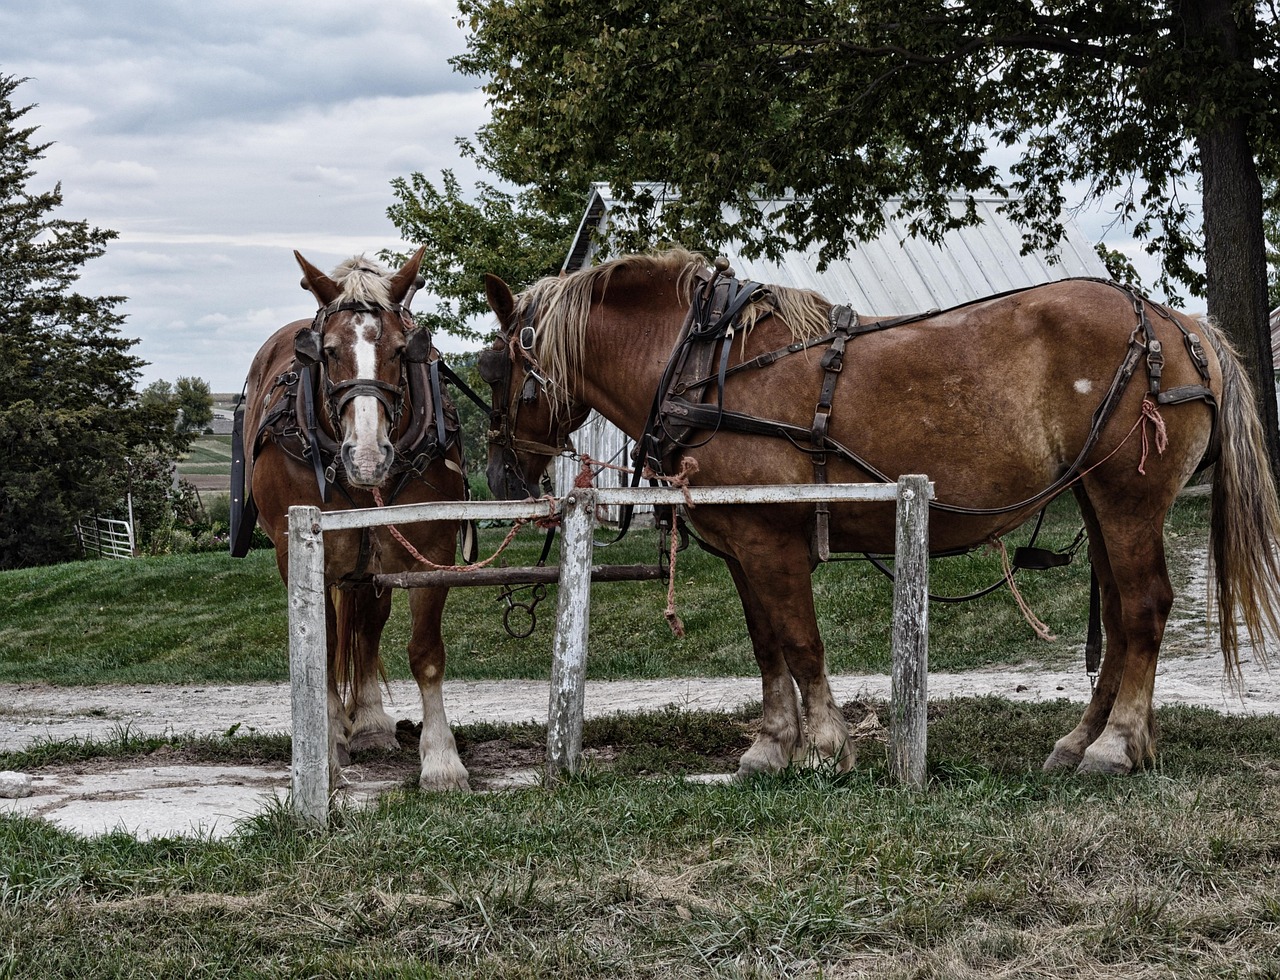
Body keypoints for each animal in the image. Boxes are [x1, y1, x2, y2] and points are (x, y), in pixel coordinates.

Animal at [236, 247, 471, 790]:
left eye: (402, 350)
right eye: (328, 352)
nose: (367, 457)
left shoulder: (431, 551)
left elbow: (426, 654)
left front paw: (441, 761)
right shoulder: (304, 556)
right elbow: (319, 651)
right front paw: (323, 751)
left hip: (372, 561)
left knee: (367, 627)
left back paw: (368, 722)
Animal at [479, 248, 1280, 776]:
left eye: (498, 367)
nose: (502, 472)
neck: (705, 368)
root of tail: (1180, 327)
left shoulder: (770, 541)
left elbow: (800, 643)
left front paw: (827, 746)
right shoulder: (743, 543)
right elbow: (766, 645)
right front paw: (771, 745)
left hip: (1127, 496)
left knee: (1143, 609)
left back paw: (1115, 746)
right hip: (1098, 497)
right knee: (1117, 617)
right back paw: (1087, 738)